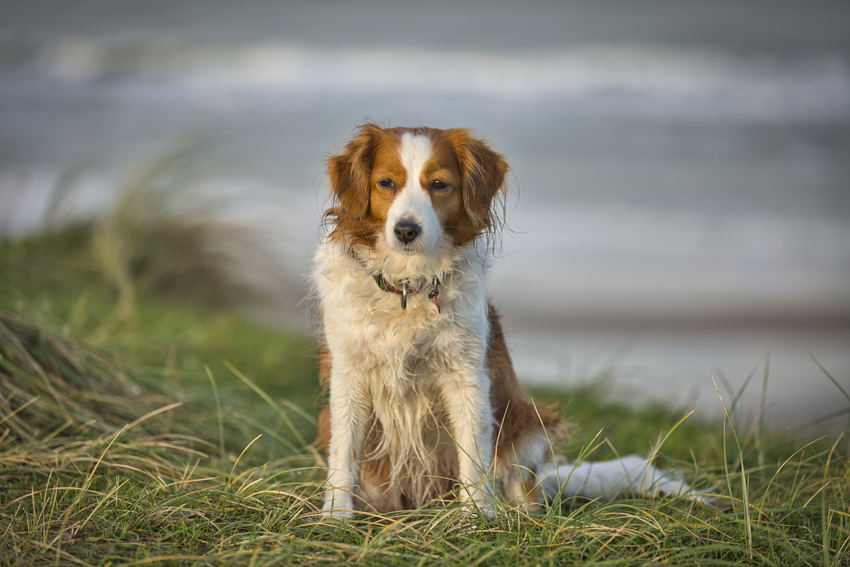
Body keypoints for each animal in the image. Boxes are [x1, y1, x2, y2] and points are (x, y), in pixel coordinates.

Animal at [312, 124, 708, 520]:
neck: (409, 287)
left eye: (439, 184)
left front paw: (475, 517)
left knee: (525, 488)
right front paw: (336, 516)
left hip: (528, 424)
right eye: (386, 183)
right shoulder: (349, 377)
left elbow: (473, 456)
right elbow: (344, 454)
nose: (406, 230)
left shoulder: (467, 376)